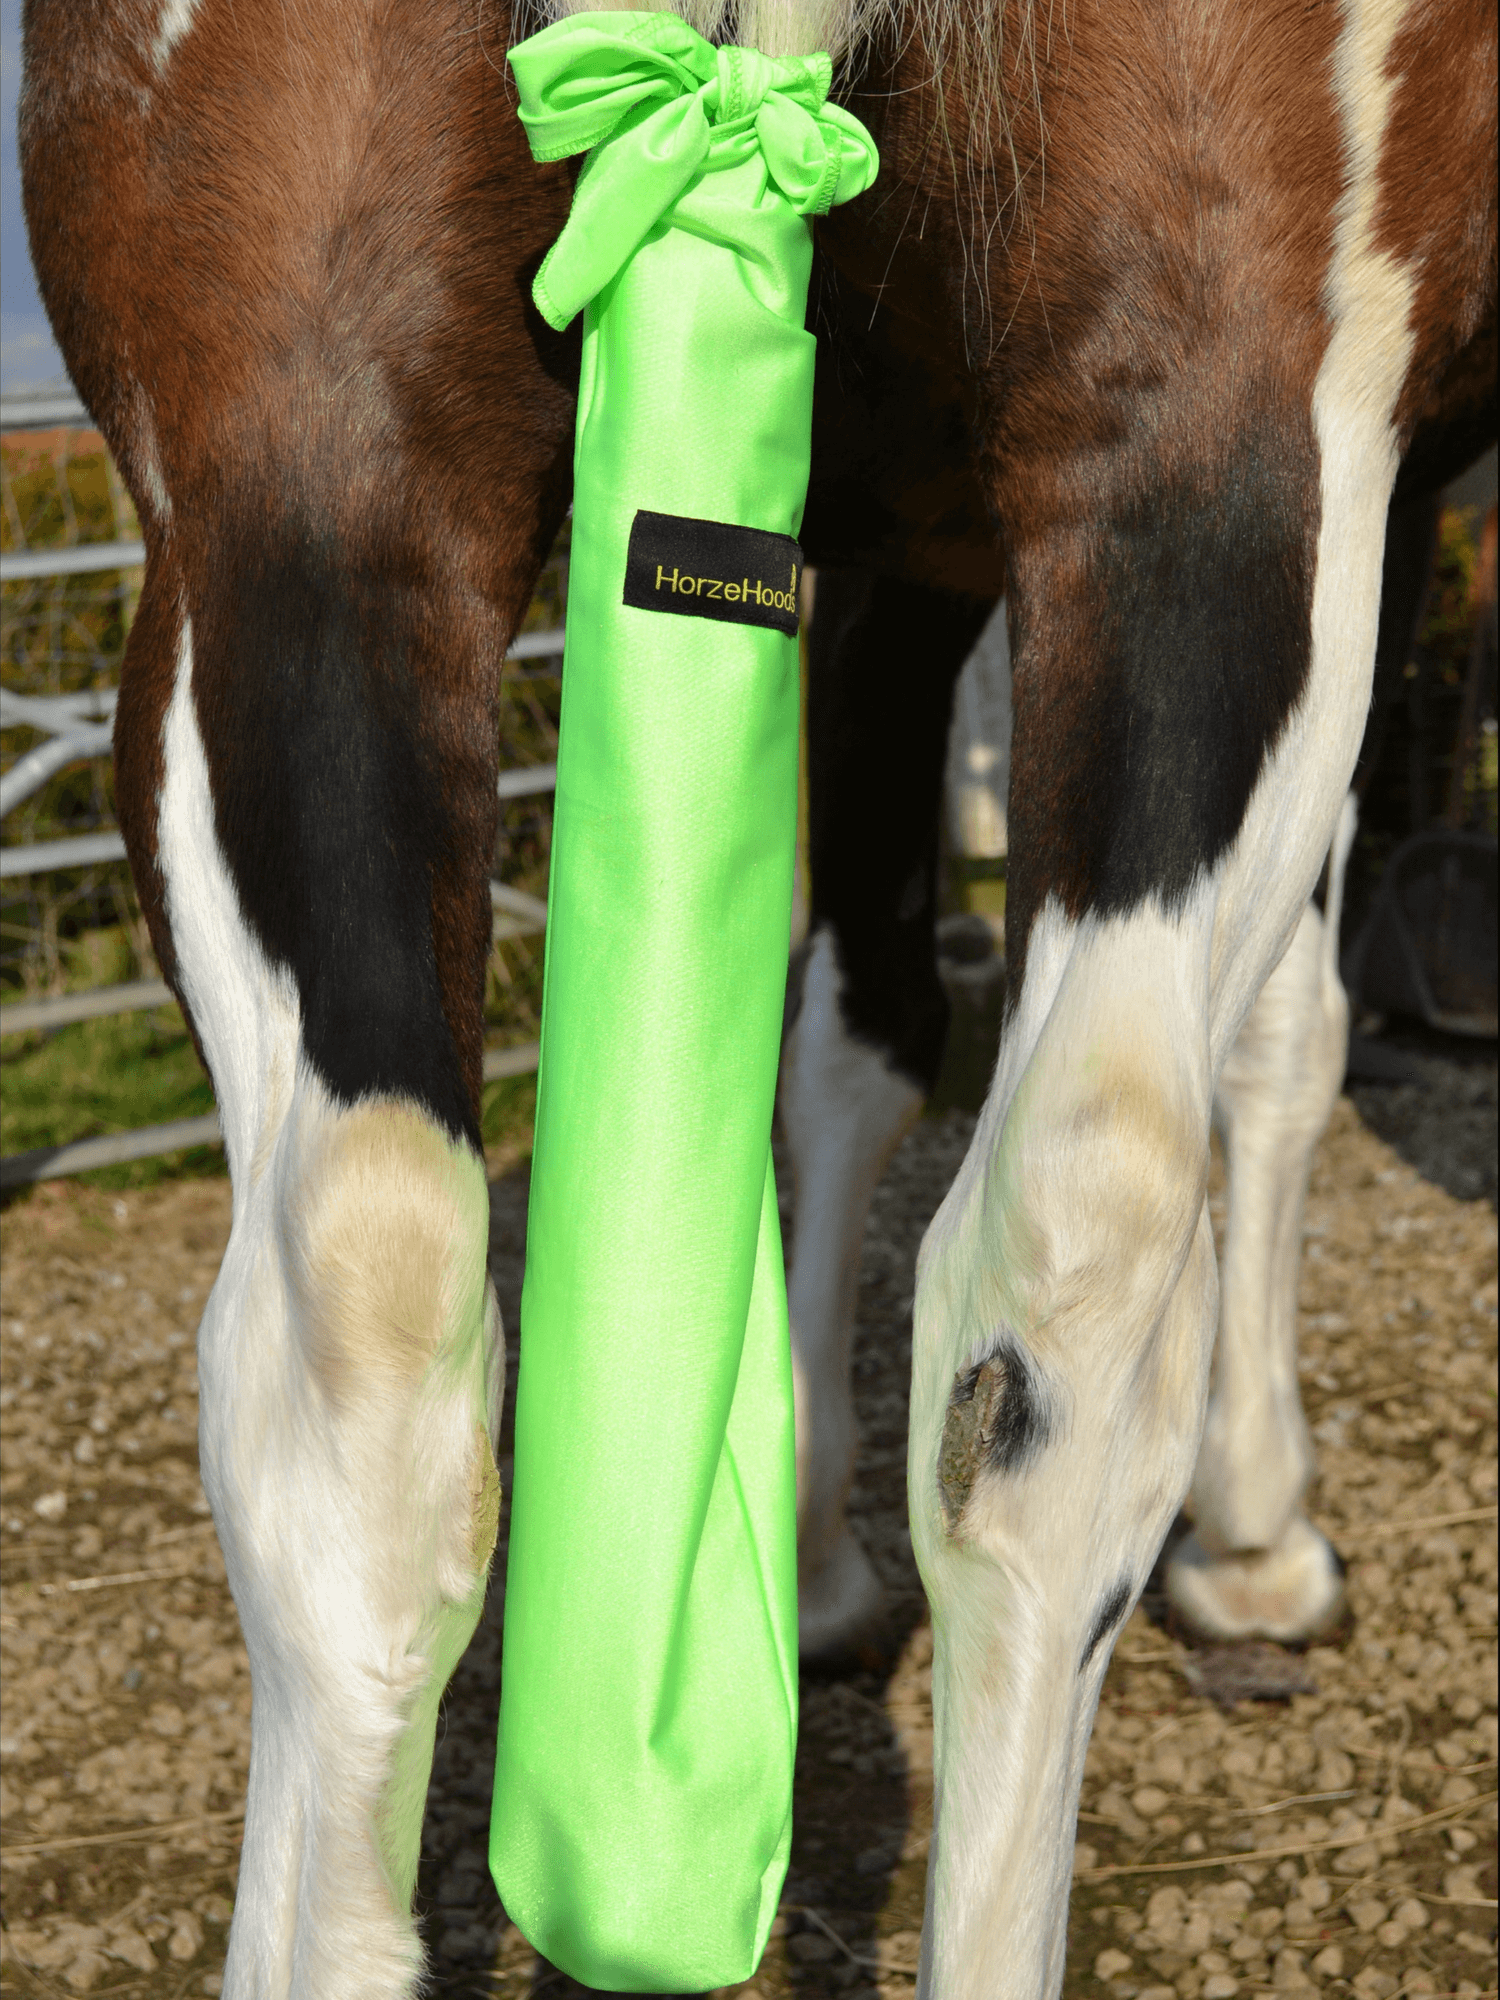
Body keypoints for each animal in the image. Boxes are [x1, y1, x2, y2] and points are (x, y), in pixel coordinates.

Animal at [19, 0, 1496, 1991]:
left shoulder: (871, 548)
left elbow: (849, 1028)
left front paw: (810, 1555)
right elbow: (1279, 1042)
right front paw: (1255, 1530)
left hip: (289, 450)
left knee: (362, 1328)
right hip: (1226, 414)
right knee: (1072, 1276)